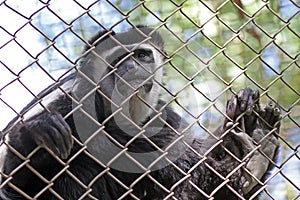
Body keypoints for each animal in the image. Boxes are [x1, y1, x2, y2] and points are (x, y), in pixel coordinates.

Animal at [0, 26, 282, 200]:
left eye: (141, 55)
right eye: (118, 60)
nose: (132, 67)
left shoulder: (165, 118)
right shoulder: (71, 102)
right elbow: (12, 185)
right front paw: (36, 133)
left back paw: (254, 152)